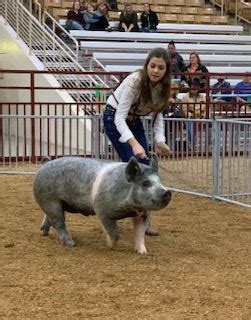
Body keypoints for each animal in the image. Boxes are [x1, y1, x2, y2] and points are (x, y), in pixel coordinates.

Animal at [32, 154, 172, 254]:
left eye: (160, 181)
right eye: (145, 183)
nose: (167, 192)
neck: (130, 208)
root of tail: (45, 163)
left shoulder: (143, 213)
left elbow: (140, 232)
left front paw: (142, 252)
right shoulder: (102, 209)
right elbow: (114, 232)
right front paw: (112, 246)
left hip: (58, 203)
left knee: (49, 218)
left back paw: (43, 233)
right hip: (50, 200)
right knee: (58, 222)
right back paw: (71, 243)